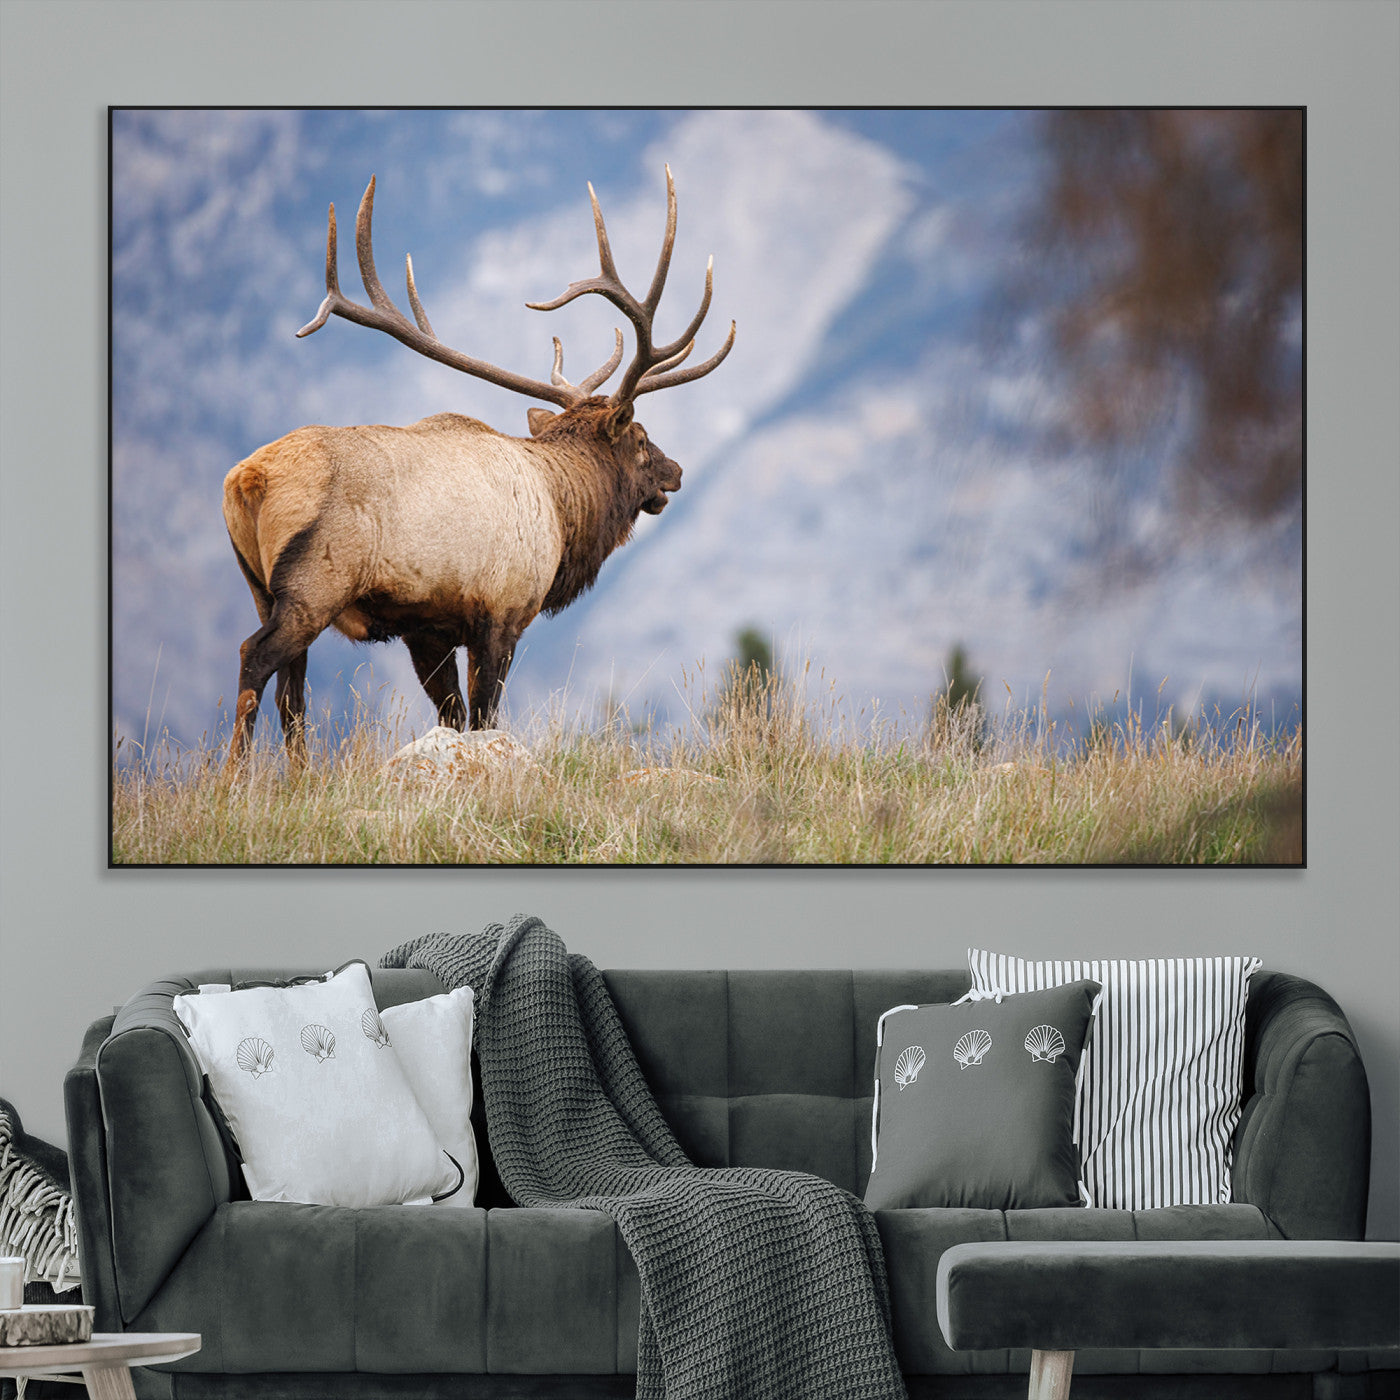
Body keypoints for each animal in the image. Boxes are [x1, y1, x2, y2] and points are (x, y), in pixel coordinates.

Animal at [222, 166, 733, 770]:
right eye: (639, 437)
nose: (676, 471)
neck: (562, 515)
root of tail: (248, 480)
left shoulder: (427, 627)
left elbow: (453, 716)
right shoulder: (503, 612)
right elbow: (485, 716)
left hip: (259, 585)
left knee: (292, 688)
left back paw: (300, 775)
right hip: (315, 584)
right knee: (256, 658)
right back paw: (231, 775)